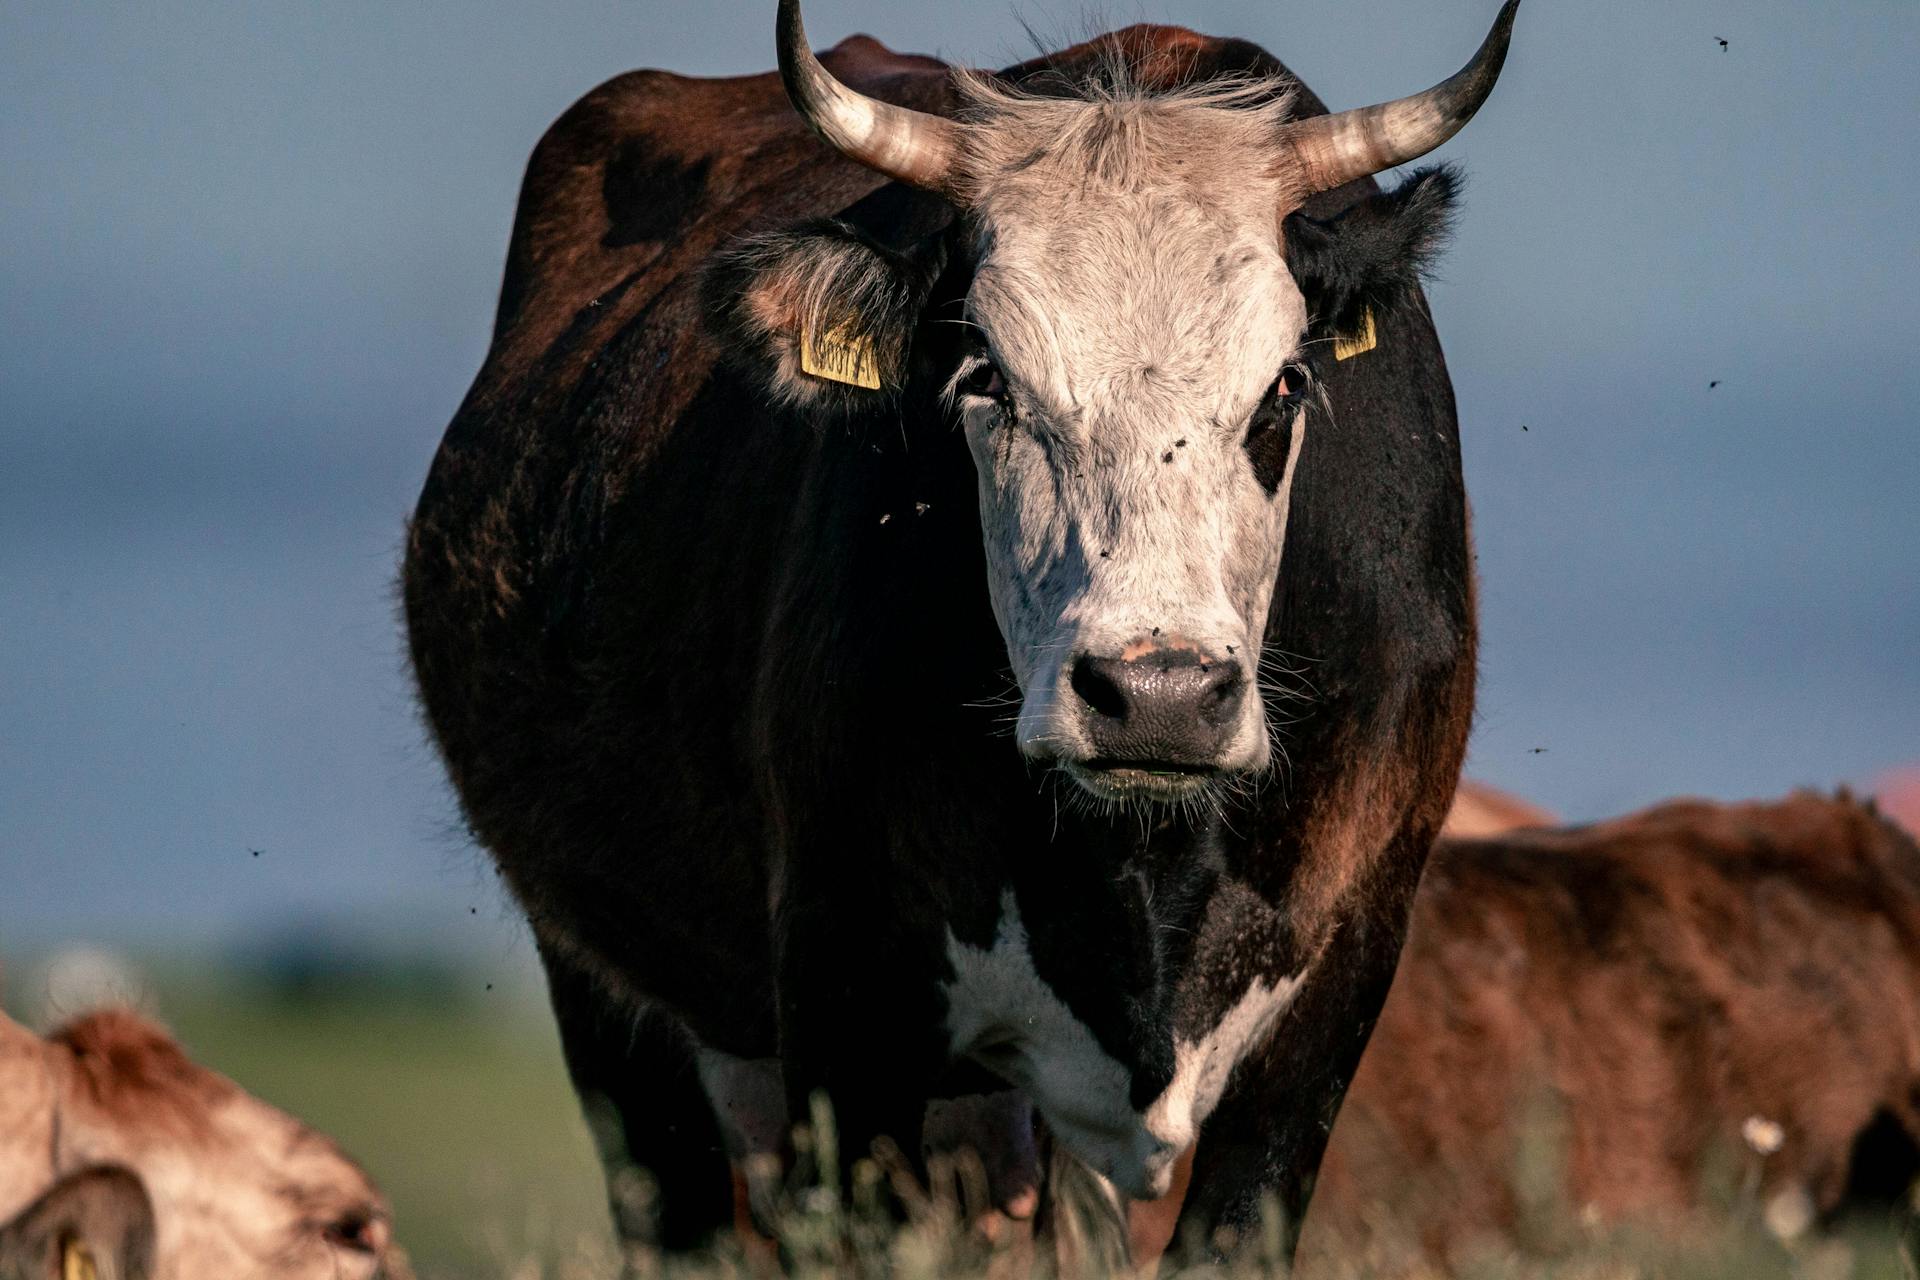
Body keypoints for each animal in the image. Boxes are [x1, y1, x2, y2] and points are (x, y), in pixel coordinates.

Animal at [397, 0, 1520, 1258]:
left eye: (1283, 386)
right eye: (988, 375)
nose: (1161, 695)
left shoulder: (1327, 1011)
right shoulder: (849, 1007)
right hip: (619, 1014)